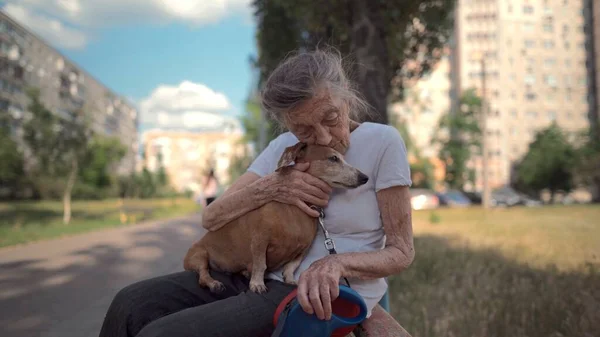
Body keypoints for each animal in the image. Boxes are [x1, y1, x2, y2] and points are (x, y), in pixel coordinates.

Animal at [184, 141, 370, 292]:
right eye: (333, 158)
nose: (365, 178)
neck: (294, 211)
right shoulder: (259, 240)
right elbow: (261, 264)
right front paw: (257, 284)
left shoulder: (302, 250)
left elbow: (290, 267)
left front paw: (290, 281)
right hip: (199, 256)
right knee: (202, 275)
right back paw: (214, 283)